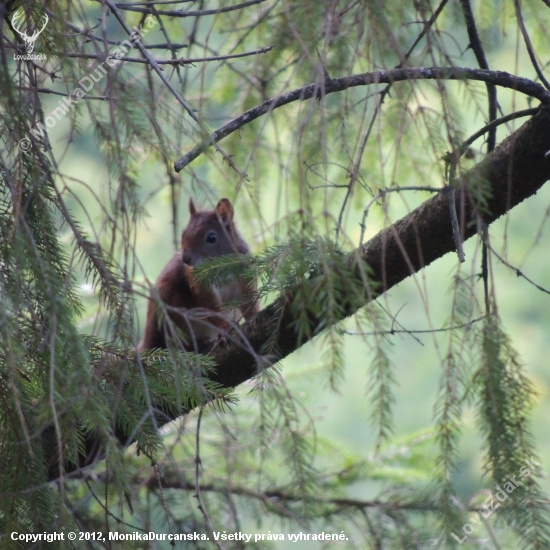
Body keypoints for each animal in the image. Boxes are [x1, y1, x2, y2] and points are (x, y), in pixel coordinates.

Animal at [138, 201, 258, 352]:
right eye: (183, 234)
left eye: (212, 237)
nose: (185, 258)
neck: (222, 266)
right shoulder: (199, 286)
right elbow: (212, 310)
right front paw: (226, 328)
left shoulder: (246, 279)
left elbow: (250, 302)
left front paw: (254, 317)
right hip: (171, 306)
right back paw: (196, 343)